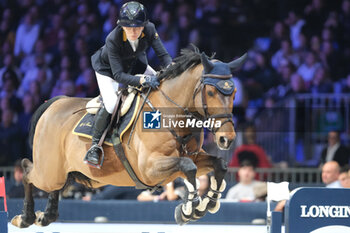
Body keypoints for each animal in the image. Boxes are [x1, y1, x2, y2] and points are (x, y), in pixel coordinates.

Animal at [10, 48, 246, 228]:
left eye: (234, 94)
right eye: (211, 93)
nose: (226, 139)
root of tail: (55, 103)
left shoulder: (192, 158)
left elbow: (219, 165)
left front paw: (209, 203)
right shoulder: (149, 168)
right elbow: (189, 167)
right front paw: (189, 209)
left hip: (66, 173)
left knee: (54, 185)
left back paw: (46, 216)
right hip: (49, 171)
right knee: (27, 170)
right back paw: (25, 218)